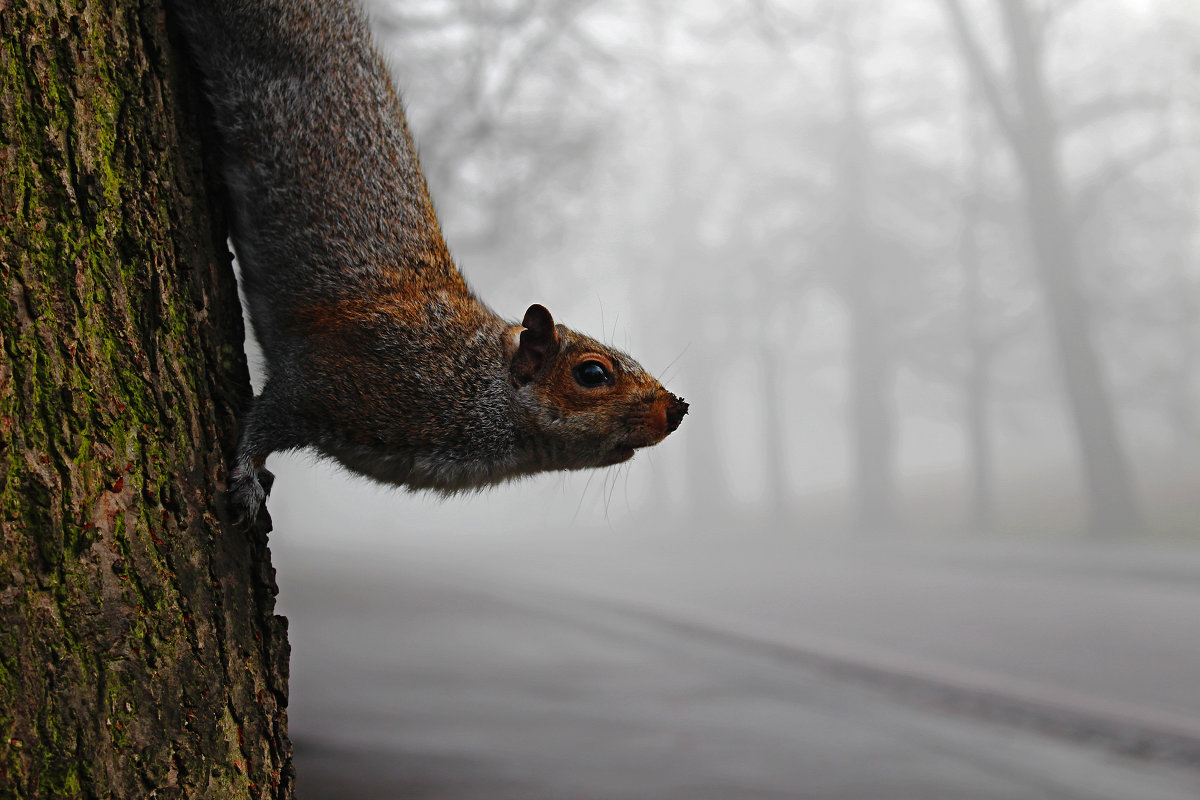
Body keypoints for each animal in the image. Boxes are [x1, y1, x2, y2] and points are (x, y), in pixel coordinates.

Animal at [172, 1, 691, 525]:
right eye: (592, 374)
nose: (678, 409)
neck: (470, 374)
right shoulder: (334, 372)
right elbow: (266, 415)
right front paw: (245, 476)